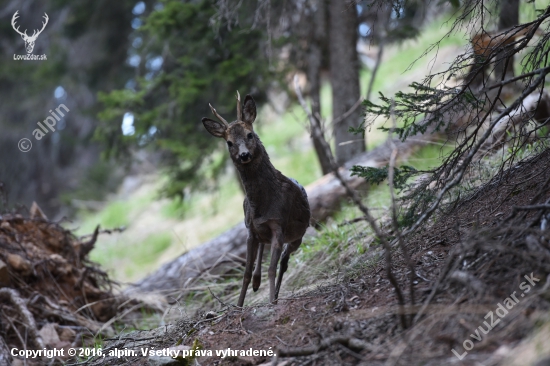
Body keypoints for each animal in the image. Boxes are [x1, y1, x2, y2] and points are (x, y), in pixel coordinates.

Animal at [204, 91, 314, 306]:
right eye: (229, 142)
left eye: (250, 134)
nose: (244, 155)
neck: (262, 206)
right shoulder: (250, 229)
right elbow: (245, 273)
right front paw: (238, 305)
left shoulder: (279, 225)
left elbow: (272, 268)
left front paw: (271, 300)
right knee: (266, 251)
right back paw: (257, 282)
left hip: (297, 236)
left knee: (284, 261)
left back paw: (276, 293)